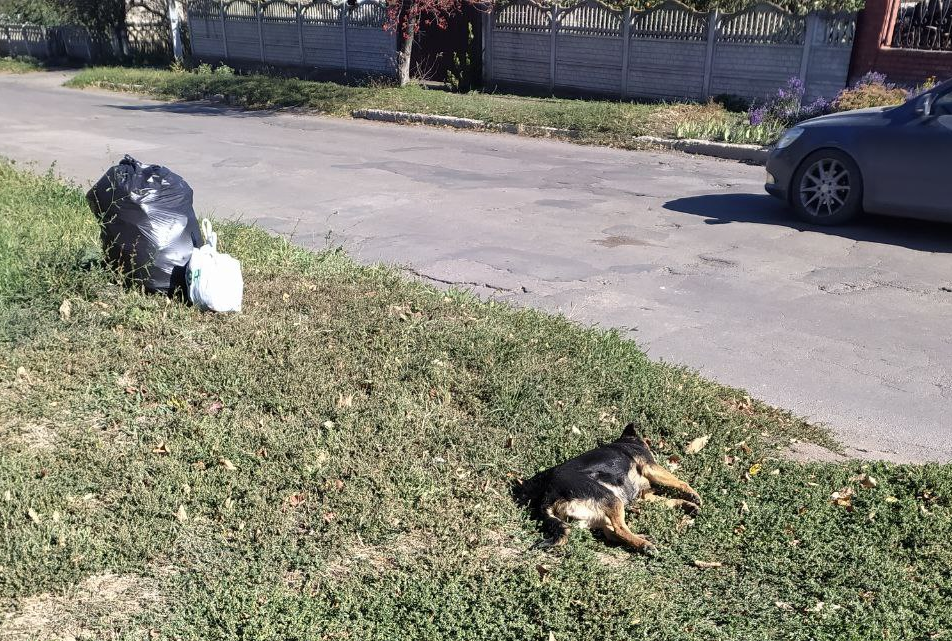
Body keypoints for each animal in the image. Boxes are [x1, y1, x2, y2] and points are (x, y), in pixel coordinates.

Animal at [516, 420, 704, 556]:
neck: (628, 441)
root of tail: (548, 496)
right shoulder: (651, 467)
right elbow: (681, 482)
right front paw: (694, 496)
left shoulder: (645, 496)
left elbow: (669, 500)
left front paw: (688, 505)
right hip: (612, 499)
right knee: (619, 530)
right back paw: (645, 545)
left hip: (600, 512)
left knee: (612, 533)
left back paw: (640, 538)